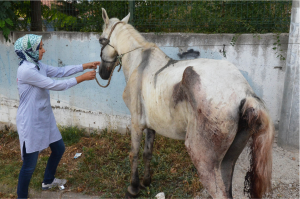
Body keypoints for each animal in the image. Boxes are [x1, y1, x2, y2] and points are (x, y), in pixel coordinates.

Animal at [98, 8, 274, 198]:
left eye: (101, 39)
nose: (102, 73)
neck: (140, 63)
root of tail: (245, 94)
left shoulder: (136, 123)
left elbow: (134, 154)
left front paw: (133, 188)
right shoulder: (152, 125)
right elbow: (147, 153)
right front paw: (146, 182)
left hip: (203, 159)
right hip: (228, 160)